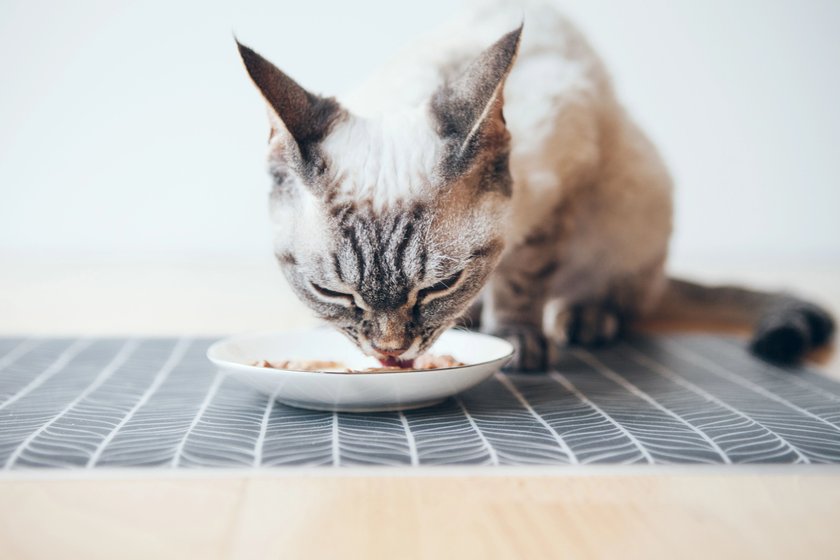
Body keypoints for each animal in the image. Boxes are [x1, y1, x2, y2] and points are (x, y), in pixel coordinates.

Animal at [235, 1, 832, 372]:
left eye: (438, 286)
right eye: (333, 293)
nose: (389, 354)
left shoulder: (561, 184)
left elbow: (523, 279)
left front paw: (516, 340)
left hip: (635, 198)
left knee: (629, 294)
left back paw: (586, 319)